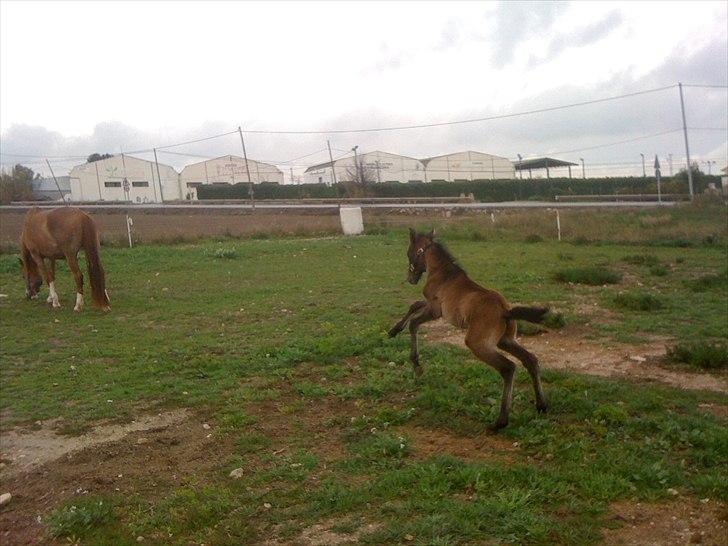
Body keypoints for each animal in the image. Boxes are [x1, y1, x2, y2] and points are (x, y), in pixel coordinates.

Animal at [390, 227, 548, 428]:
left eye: (409, 252)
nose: (410, 279)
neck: (443, 274)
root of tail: (505, 310)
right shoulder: (433, 307)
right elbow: (414, 306)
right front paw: (393, 331)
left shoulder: (435, 310)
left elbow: (414, 322)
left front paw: (417, 365)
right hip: (505, 340)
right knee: (531, 360)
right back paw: (541, 405)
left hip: (477, 343)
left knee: (508, 368)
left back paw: (501, 421)